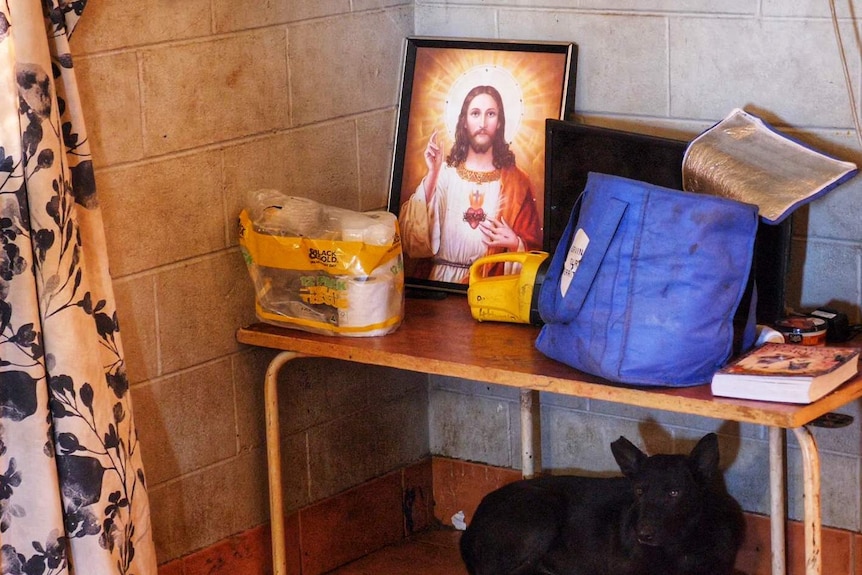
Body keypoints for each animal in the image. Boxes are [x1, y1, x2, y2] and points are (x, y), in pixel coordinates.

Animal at [462, 434, 744, 572]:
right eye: (639, 491)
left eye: (674, 493)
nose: (642, 535)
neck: (678, 545)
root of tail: (471, 525)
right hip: (543, 513)